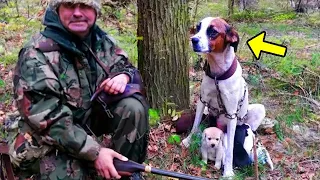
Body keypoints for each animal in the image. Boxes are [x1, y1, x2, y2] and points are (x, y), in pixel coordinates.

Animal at [182, 17, 264, 177]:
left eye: (213, 31)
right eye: (198, 28)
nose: (193, 40)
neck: (217, 75)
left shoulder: (231, 114)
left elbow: (230, 148)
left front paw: (228, 171)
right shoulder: (202, 101)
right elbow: (195, 125)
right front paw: (188, 141)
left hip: (257, 110)